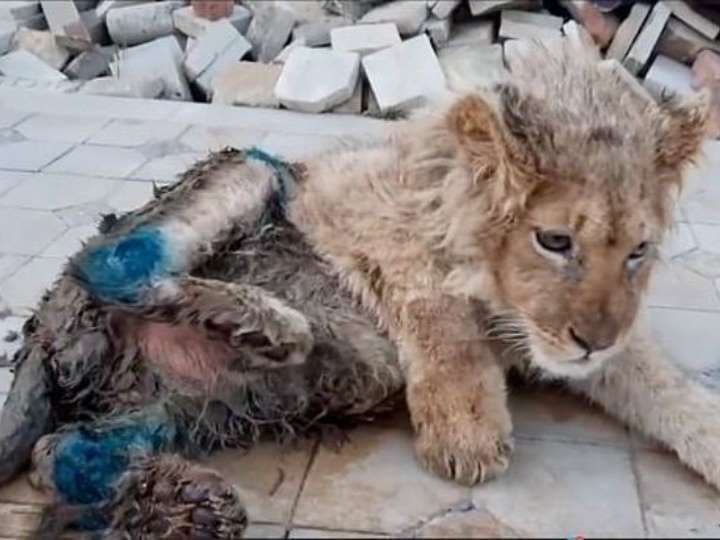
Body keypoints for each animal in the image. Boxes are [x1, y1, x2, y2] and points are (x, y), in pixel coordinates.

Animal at [0, 38, 718, 538]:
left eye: (638, 252)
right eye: (556, 241)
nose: (592, 344)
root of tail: (42, 327)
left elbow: (667, 391)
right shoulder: (352, 203)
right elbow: (432, 300)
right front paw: (465, 430)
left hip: (190, 406)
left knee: (56, 451)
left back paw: (193, 505)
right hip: (252, 170)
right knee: (112, 260)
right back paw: (270, 328)